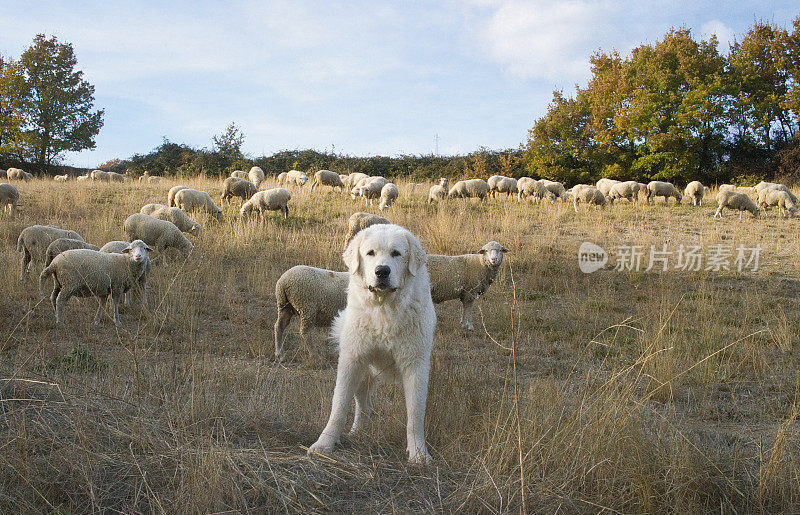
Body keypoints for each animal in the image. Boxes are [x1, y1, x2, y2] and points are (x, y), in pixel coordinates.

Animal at [310, 224, 438, 466]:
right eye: (370, 253)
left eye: (396, 253)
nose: (382, 271)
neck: (384, 309)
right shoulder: (352, 360)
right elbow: (339, 406)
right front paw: (324, 445)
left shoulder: (415, 365)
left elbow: (415, 414)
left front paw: (418, 453)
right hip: (363, 371)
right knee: (363, 406)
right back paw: (357, 432)